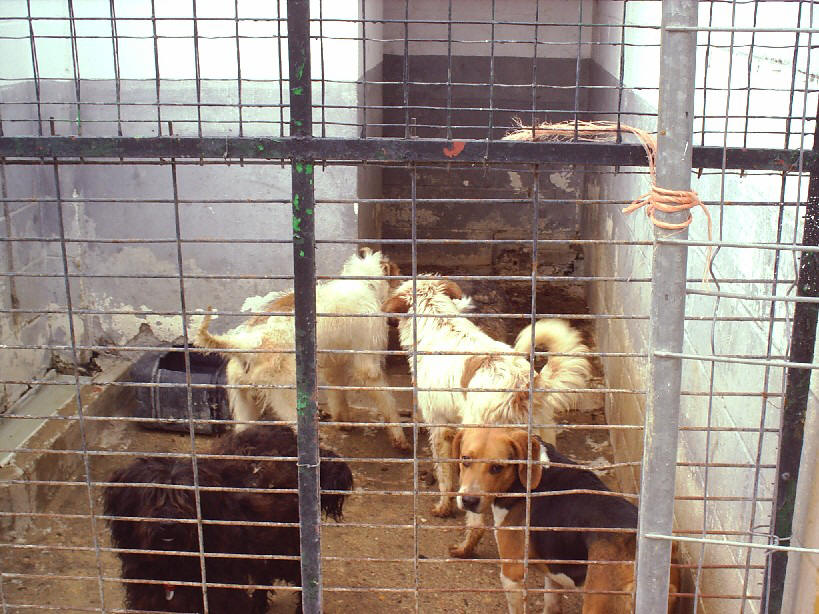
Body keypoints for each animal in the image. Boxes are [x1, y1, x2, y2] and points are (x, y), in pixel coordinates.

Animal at [195, 248, 409, 451]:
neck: (364, 284)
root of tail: (247, 344)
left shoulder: (333, 365)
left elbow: (338, 395)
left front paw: (343, 420)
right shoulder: (367, 364)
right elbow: (387, 401)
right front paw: (399, 437)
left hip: (243, 403)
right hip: (288, 400)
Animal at [381, 278, 591, 556]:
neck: (439, 320)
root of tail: (522, 388)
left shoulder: (439, 427)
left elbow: (445, 476)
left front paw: (443, 507)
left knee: (477, 521)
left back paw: (465, 547)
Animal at [453, 427, 680, 614]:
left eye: (497, 468)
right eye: (465, 459)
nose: (469, 501)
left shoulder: (512, 573)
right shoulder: (554, 568)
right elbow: (552, 603)